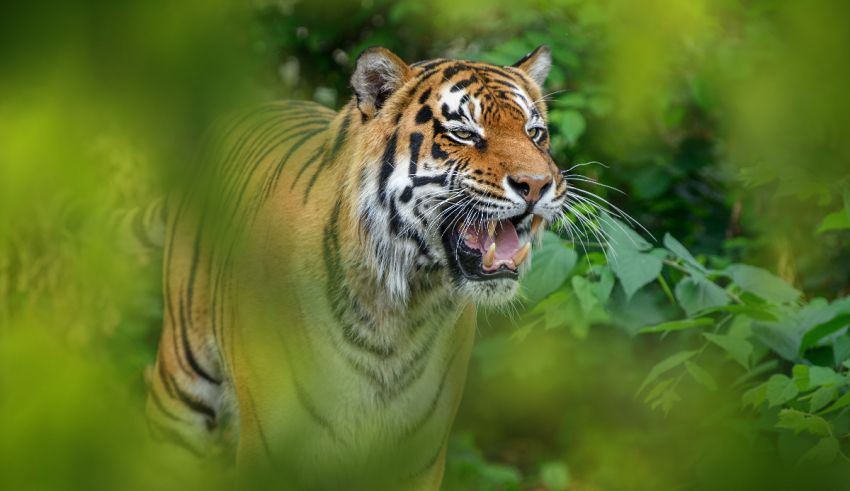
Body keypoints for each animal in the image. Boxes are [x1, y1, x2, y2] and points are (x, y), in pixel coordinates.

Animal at [145, 45, 568, 489]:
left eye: (535, 132)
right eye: (464, 133)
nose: (537, 185)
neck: (398, 312)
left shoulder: (417, 458)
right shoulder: (272, 449)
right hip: (180, 390)